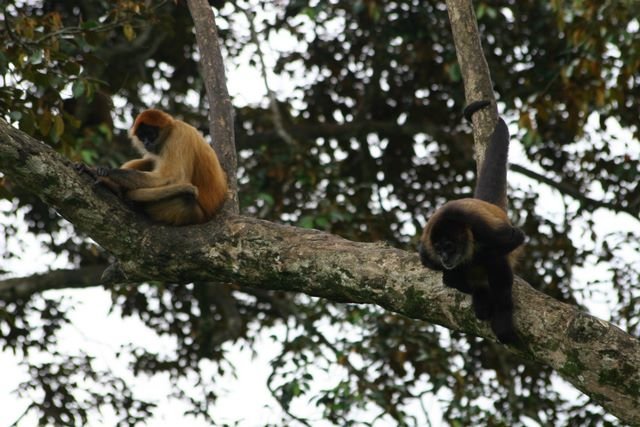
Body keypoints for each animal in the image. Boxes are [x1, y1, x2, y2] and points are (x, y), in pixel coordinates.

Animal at [86, 109, 227, 226]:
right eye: (142, 136)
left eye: (150, 134)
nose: (146, 142)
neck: (171, 130)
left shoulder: (180, 133)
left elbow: (172, 178)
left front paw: (104, 173)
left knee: (185, 198)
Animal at [418, 100, 525, 344]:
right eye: (439, 248)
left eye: (449, 247)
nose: (445, 257)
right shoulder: (428, 247)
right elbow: (432, 264)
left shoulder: (478, 225)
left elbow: (513, 238)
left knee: (497, 262)